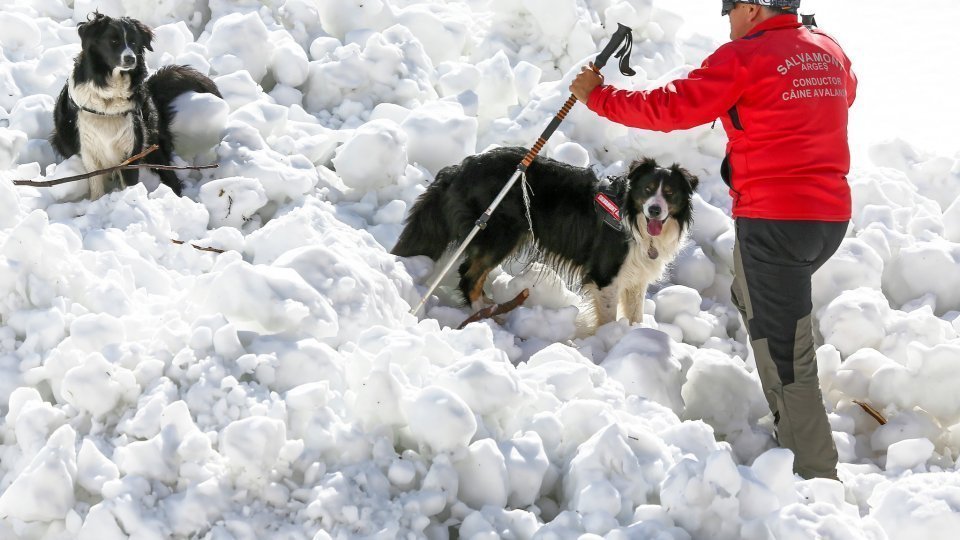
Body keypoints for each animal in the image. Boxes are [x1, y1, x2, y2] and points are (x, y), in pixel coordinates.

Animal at [51, 12, 222, 198]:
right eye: (113, 41)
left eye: (134, 42)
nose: (130, 58)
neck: (109, 98)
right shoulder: (89, 147)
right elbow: (96, 185)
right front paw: (98, 201)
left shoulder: (132, 144)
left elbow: (130, 181)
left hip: (153, 144)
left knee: (169, 174)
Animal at [390, 146, 696, 326]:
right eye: (647, 190)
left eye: (670, 193)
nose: (655, 210)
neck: (631, 217)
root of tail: (460, 169)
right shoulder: (605, 274)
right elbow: (609, 316)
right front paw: (608, 343)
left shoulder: (636, 275)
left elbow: (635, 314)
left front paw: (632, 336)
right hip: (501, 232)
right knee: (468, 275)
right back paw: (487, 316)